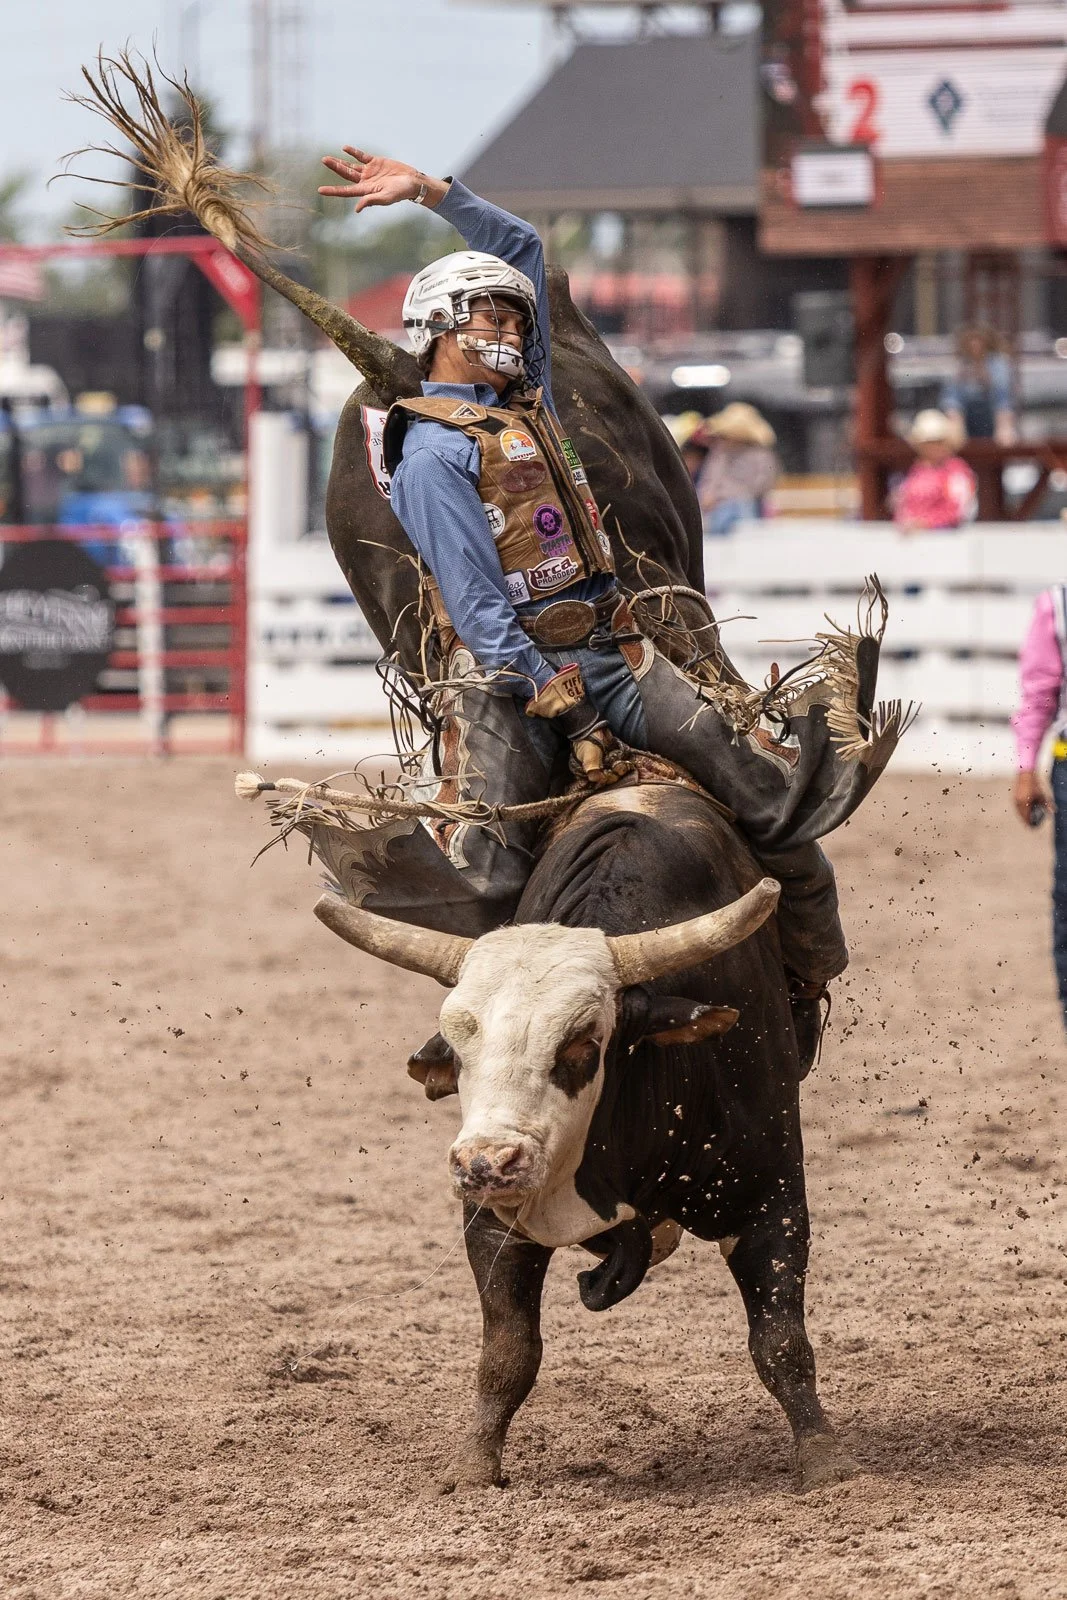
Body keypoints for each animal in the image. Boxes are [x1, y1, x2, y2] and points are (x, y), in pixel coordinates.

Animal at [314, 779, 860, 1495]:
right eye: (457, 1049)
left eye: (581, 1043)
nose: (487, 1164)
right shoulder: (492, 1224)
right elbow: (508, 1353)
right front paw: (474, 1465)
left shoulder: (770, 1199)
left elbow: (781, 1343)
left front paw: (825, 1457)